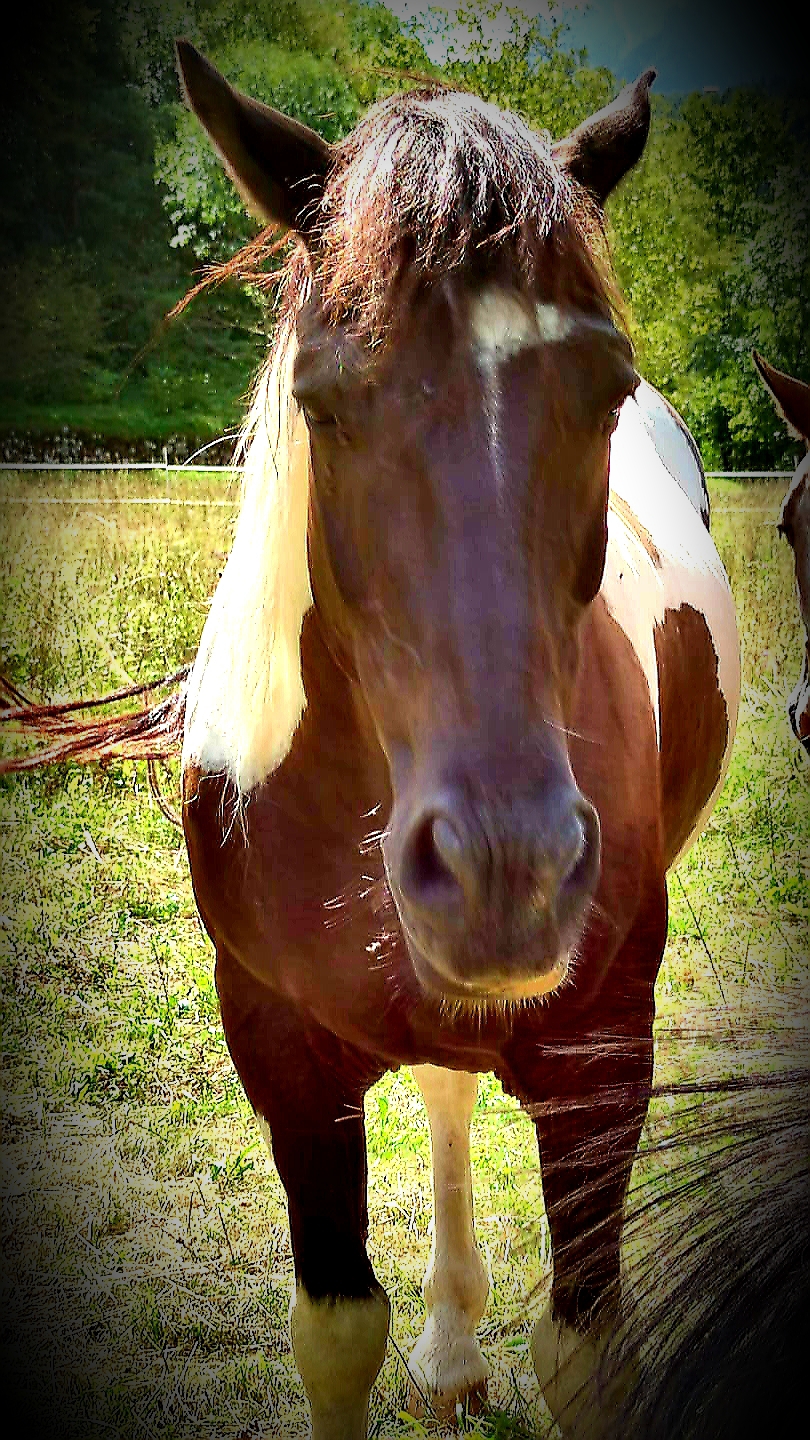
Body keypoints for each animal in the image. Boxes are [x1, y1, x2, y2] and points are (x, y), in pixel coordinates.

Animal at [0, 44, 740, 1439]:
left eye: (607, 389)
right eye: (324, 400)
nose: (510, 872)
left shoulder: (602, 1061)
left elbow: (584, 1350)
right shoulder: (281, 1055)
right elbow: (336, 1334)